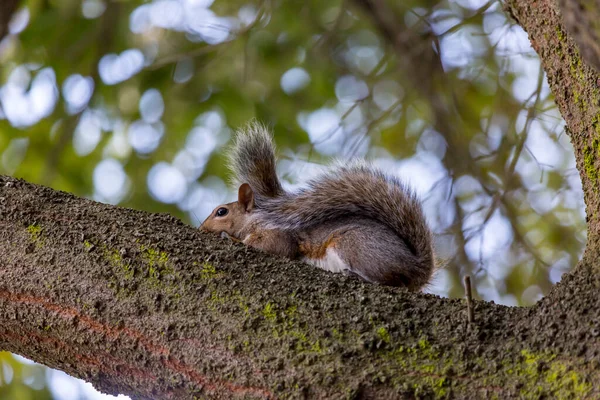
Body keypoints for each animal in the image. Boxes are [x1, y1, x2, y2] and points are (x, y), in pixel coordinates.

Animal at [202, 122, 436, 290]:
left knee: (389, 281)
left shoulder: (278, 233)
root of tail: (415, 266)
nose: (202, 229)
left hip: (354, 244)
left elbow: (275, 247)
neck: (256, 219)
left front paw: (231, 238)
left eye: (221, 212)